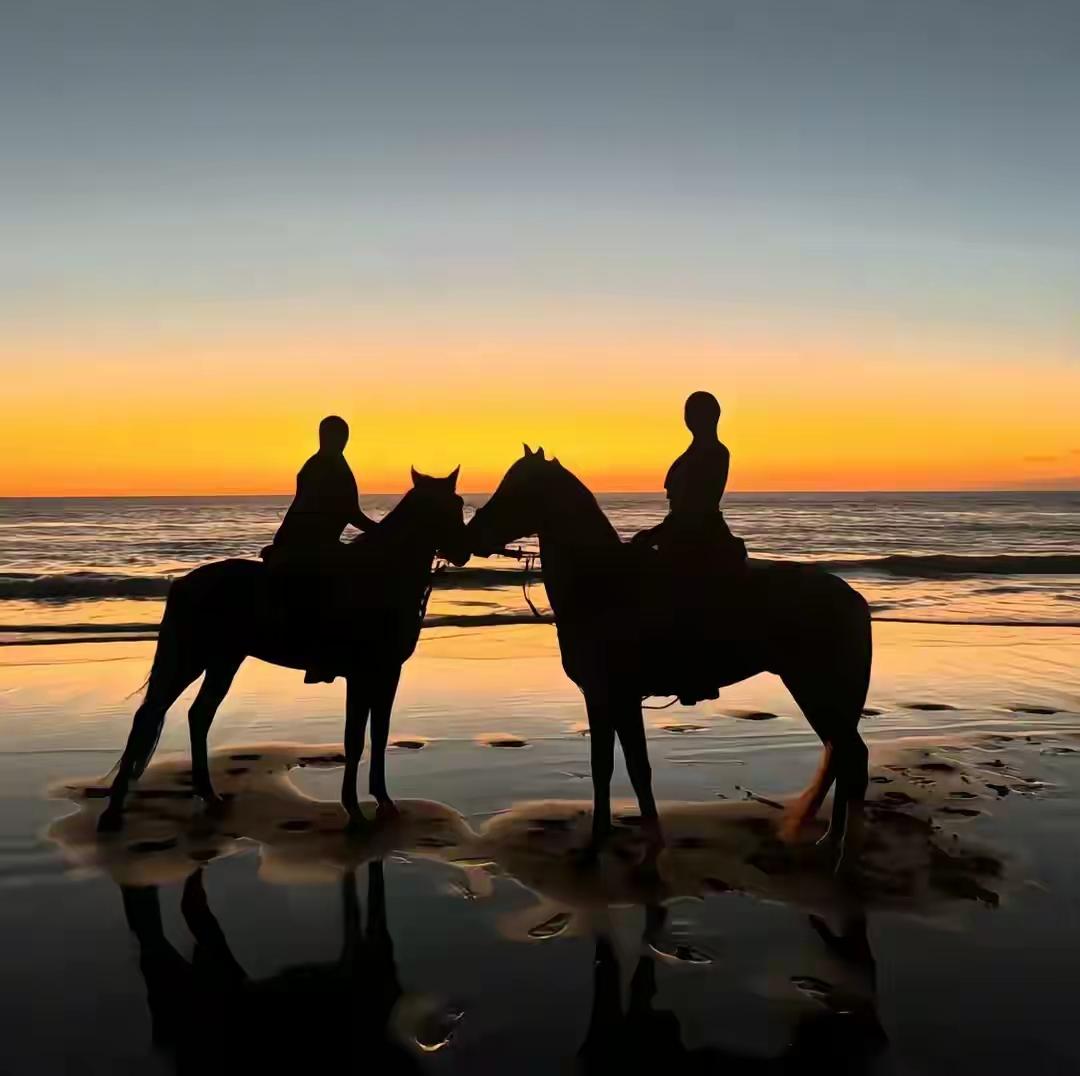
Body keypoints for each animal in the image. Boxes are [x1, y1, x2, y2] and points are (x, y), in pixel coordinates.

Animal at [101, 471, 468, 834]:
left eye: (458, 502)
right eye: (448, 507)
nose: (464, 551)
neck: (382, 577)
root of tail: (183, 583)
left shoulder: (387, 673)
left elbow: (379, 734)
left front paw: (384, 802)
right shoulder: (361, 675)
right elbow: (354, 739)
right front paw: (354, 810)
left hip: (223, 661)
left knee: (198, 715)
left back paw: (209, 795)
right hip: (191, 659)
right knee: (148, 717)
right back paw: (113, 812)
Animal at [468, 449, 872, 859]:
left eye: (518, 489)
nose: (473, 534)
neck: (602, 586)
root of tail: (855, 599)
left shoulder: (618, 696)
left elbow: (630, 767)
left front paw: (635, 842)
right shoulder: (604, 697)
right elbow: (610, 766)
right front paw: (610, 835)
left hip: (817, 690)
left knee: (852, 757)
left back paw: (843, 849)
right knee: (843, 754)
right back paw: (831, 840)